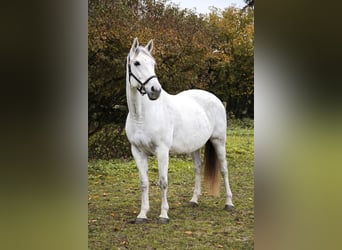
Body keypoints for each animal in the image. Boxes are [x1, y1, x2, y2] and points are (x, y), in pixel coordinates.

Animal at [124, 37, 234, 223]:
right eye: (137, 63)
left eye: (153, 63)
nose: (155, 90)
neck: (141, 116)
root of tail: (215, 98)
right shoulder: (137, 151)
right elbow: (144, 183)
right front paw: (142, 214)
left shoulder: (162, 151)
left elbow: (163, 182)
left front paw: (163, 215)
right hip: (195, 146)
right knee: (198, 168)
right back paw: (194, 200)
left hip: (219, 141)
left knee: (224, 169)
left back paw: (229, 204)